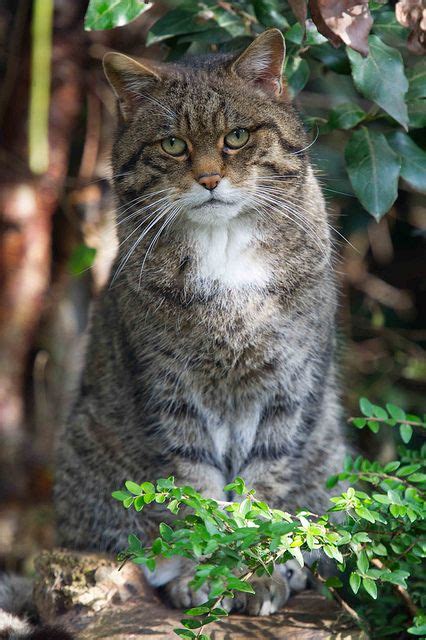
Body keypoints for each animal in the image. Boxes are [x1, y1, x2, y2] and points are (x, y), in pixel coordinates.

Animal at [52, 27, 346, 616]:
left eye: (236, 137)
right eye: (173, 145)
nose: (210, 178)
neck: (225, 250)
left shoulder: (288, 387)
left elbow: (263, 488)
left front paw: (258, 572)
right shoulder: (170, 393)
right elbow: (196, 495)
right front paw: (208, 571)